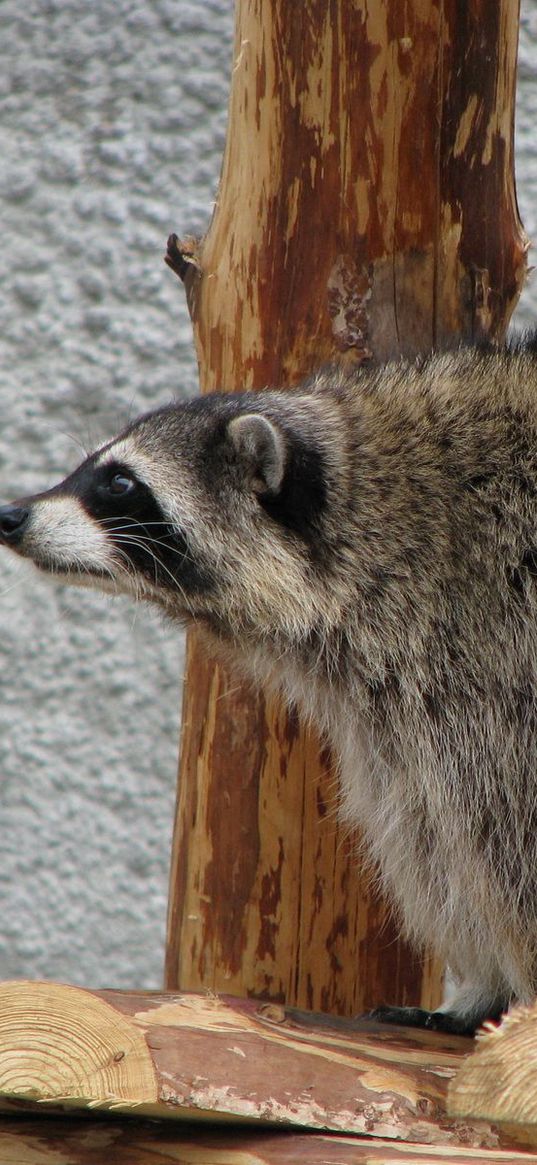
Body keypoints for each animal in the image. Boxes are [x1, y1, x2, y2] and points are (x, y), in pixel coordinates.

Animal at [3, 347, 535, 1039]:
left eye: (120, 484)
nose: (10, 515)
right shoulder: (407, 706)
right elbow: (430, 833)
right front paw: (483, 989)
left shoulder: (490, 655)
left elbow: (503, 838)